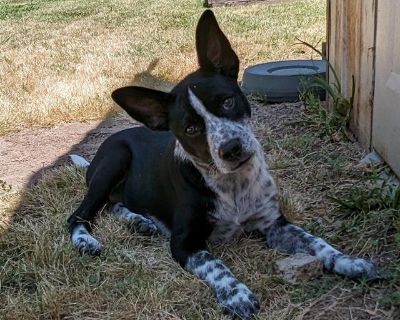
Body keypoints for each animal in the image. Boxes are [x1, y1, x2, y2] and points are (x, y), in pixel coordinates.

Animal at [69, 10, 378, 320]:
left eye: (228, 101)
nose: (231, 148)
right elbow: (216, 266)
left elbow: (317, 242)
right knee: (79, 215)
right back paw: (87, 240)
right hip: (114, 160)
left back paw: (139, 221)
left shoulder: (274, 223)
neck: (233, 184)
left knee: (115, 204)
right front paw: (237, 294)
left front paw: (348, 261)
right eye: (191, 129)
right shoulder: (184, 244)